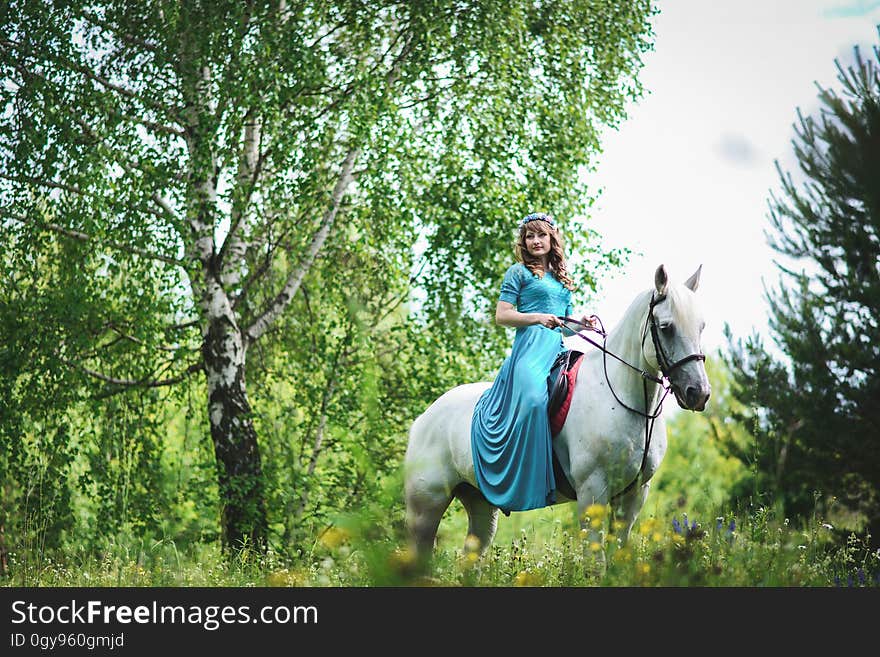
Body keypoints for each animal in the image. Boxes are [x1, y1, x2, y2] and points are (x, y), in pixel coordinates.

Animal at [402, 264, 712, 568]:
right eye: (666, 328)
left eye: (701, 327)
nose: (699, 393)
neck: (624, 399)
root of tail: (423, 419)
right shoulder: (592, 492)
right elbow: (596, 564)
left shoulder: (633, 495)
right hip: (426, 506)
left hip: (480, 504)